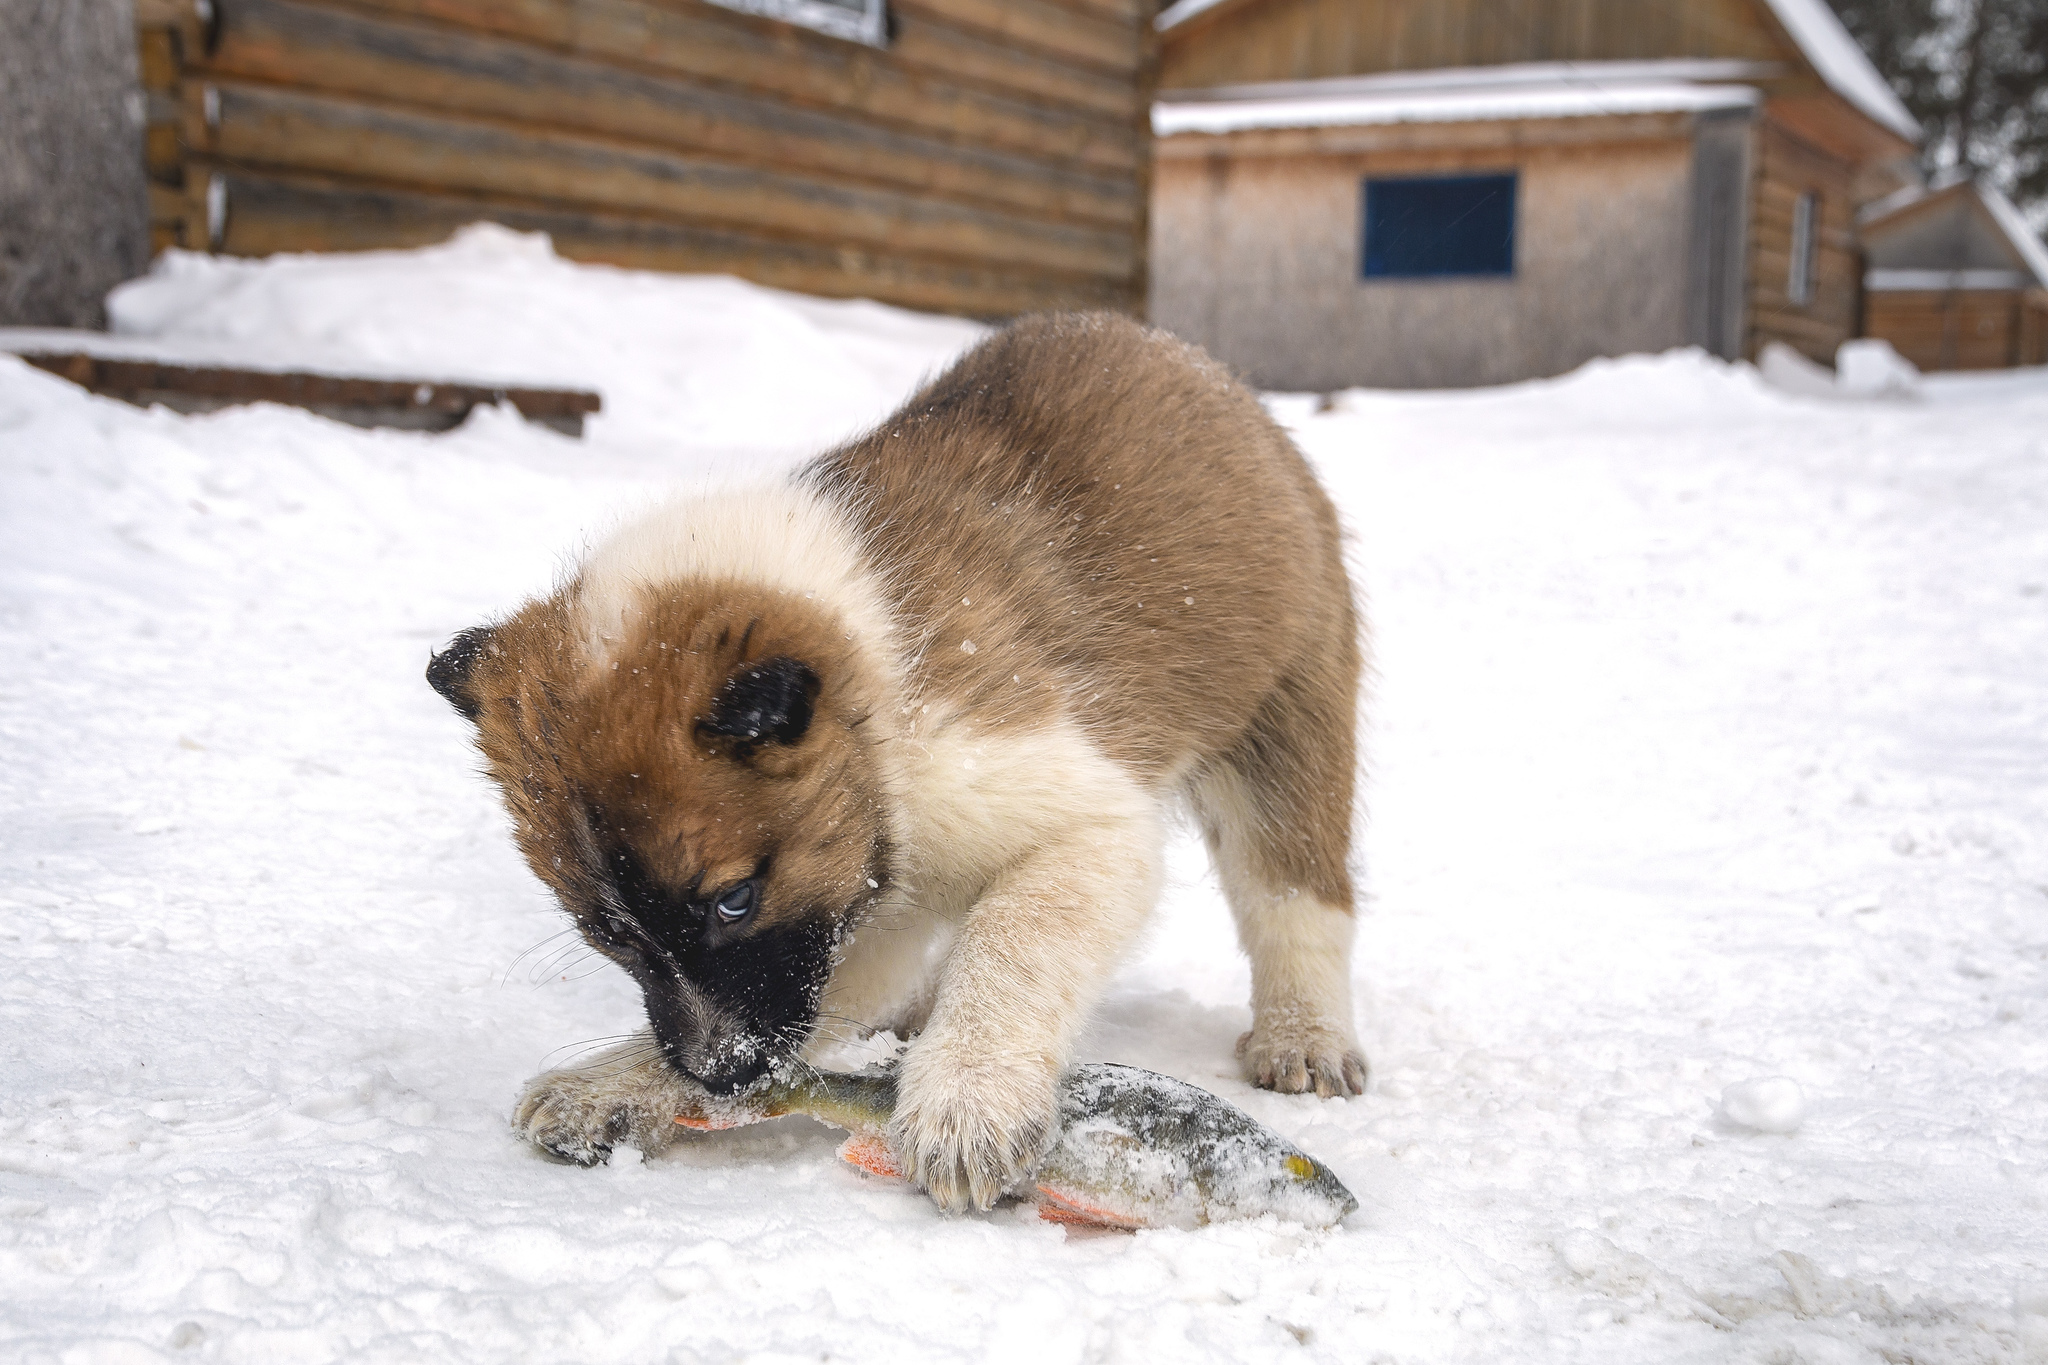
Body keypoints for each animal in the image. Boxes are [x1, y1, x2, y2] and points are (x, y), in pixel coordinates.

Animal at [430, 315, 1359, 1211]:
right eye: (609, 933)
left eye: (733, 901)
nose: (724, 1075)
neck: (877, 721)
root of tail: (1192, 363)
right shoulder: (852, 914)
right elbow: (832, 991)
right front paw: (616, 1084)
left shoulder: (1085, 824)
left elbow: (1011, 943)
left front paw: (967, 1097)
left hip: (1286, 726)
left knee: (1292, 897)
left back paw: (1305, 1035)